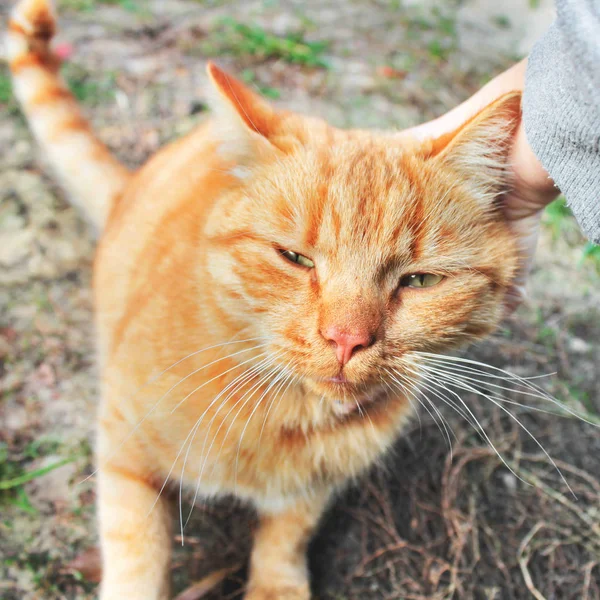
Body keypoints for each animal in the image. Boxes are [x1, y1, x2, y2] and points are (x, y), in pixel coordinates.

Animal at [4, 2, 520, 596]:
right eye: (295, 258)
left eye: (417, 282)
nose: (346, 340)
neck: (283, 415)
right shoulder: (121, 446)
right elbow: (137, 553)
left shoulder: (311, 490)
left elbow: (287, 536)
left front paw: (277, 583)